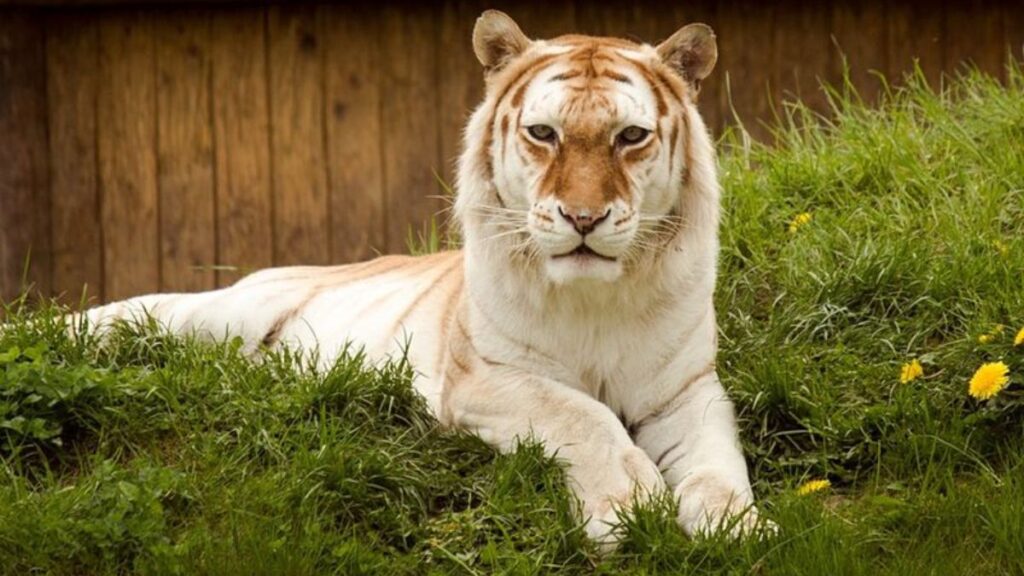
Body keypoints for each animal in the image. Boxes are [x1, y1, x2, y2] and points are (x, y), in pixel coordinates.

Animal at [66, 10, 765, 545]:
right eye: (543, 133)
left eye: (631, 136)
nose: (584, 218)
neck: (596, 299)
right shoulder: (486, 377)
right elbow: (581, 414)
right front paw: (626, 506)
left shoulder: (686, 390)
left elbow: (717, 460)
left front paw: (737, 525)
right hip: (219, 313)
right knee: (128, 317)